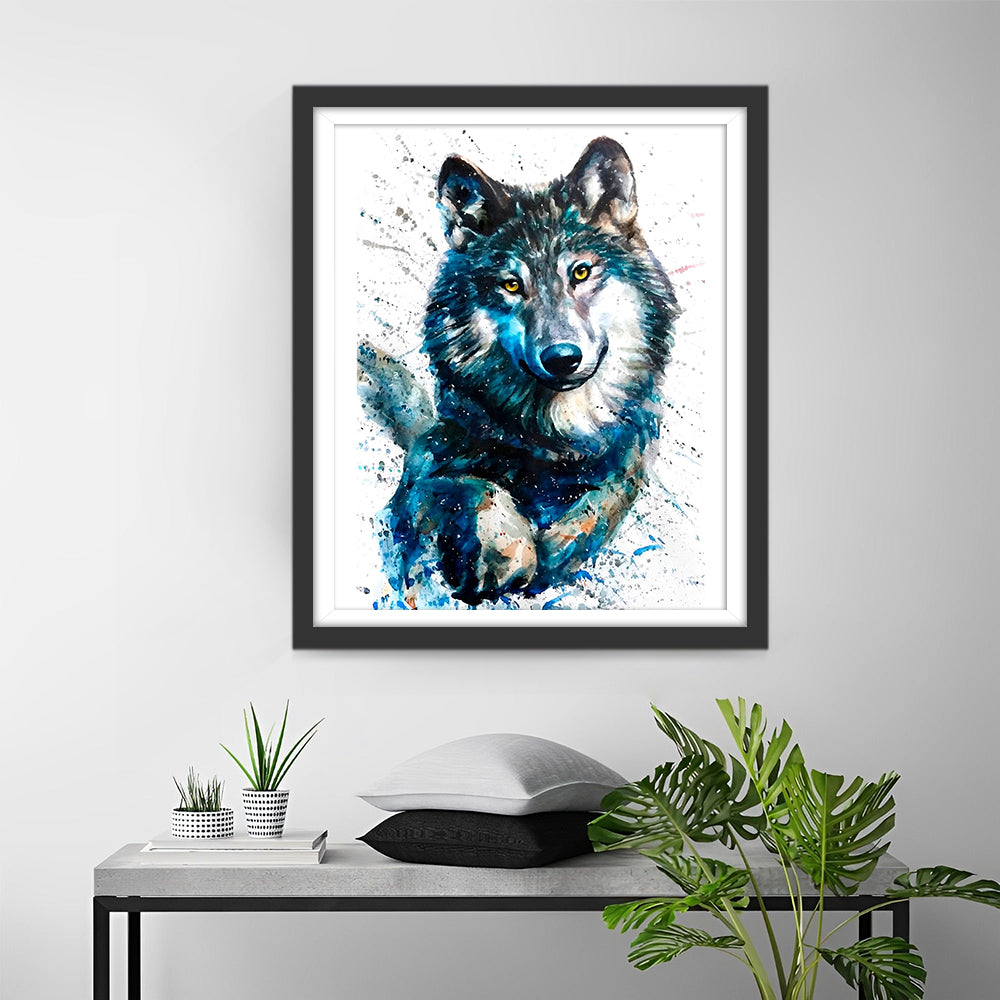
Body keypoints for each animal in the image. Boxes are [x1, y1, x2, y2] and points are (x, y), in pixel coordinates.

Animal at [363, 137, 678, 608]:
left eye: (580, 272)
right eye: (512, 285)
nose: (562, 357)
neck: (555, 439)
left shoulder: (629, 457)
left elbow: (600, 505)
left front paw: (553, 551)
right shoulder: (425, 466)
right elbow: (479, 486)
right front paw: (510, 555)